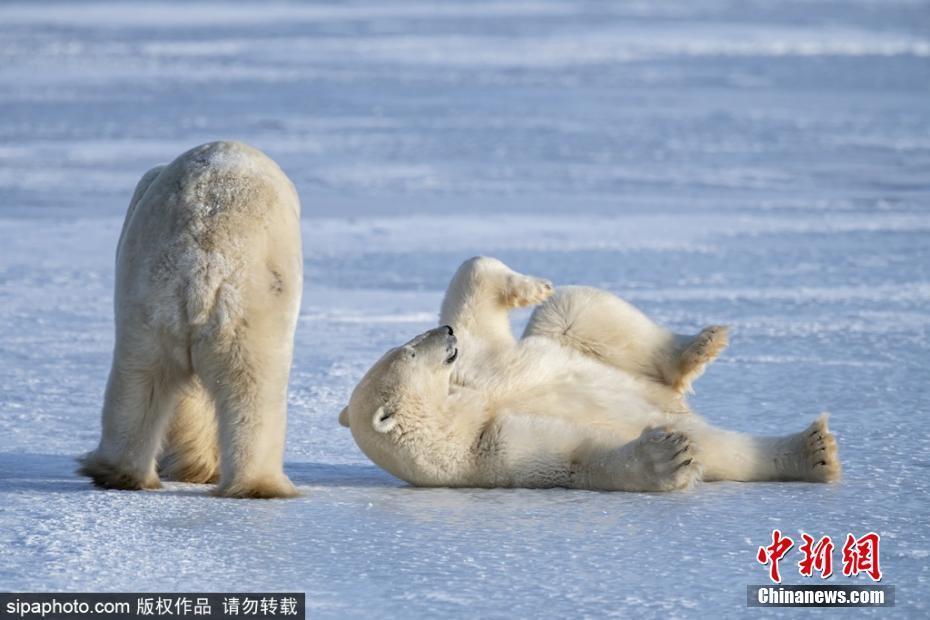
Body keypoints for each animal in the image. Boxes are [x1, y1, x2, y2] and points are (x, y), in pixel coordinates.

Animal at [80, 142, 302, 498]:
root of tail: (201, 262)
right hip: (251, 309)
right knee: (253, 386)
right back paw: (262, 484)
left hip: (148, 305)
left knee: (139, 376)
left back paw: (119, 473)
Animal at [340, 256, 840, 490]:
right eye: (409, 352)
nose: (444, 334)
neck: (461, 414)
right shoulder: (495, 452)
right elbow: (579, 456)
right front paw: (666, 455)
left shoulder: (477, 368)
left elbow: (473, 295)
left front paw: (531, 285)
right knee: (720, 445)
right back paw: (814, 451)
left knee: (575, 308)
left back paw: (699, 346)